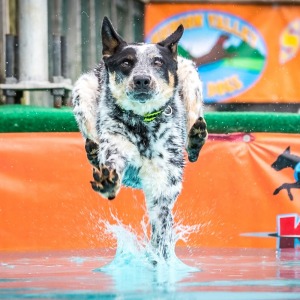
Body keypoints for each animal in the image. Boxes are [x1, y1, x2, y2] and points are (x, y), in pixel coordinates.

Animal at [73, 17, 209, 258]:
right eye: (126, 63)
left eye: (158, 62)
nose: (142, 80)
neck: (142, 122)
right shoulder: (117, 147)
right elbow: (113, 163)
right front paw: (108, 182)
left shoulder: (163, 184)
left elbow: (161, 229)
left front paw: (158, 256)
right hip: (83, 90)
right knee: (91, 138)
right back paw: (93, 151)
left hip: (190, 76)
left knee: (195, 122)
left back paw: (196, 137)